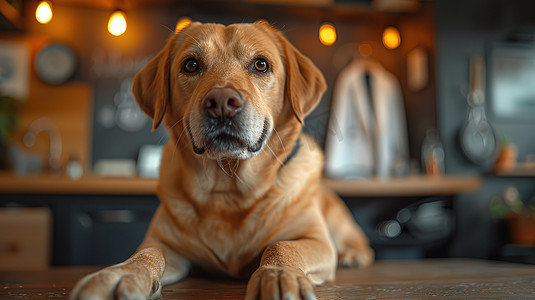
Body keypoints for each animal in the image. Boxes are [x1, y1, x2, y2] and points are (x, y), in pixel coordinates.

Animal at [70, 21, 372, 300]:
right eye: (191, 65)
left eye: (261, 64)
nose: (222, 102)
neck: (227, 189)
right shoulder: (165, 242)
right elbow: (147, 252)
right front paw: (119, 274)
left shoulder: (316, 239)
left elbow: (282, 246)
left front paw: (278, 275)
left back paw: (353, 256)